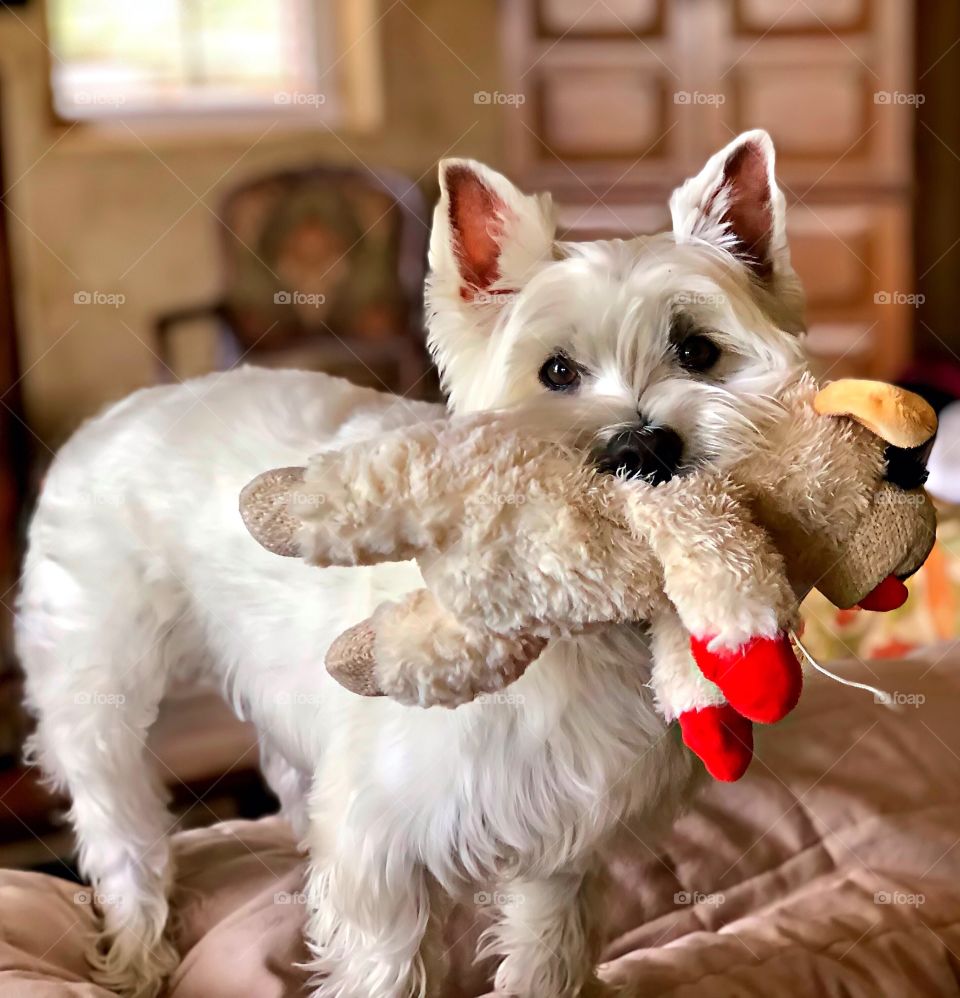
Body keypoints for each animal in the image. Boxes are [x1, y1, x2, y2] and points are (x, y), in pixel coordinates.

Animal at [18, 133, 808, 998]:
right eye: (556, 372)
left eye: (699, 351)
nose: (642, 448)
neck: (589, 632)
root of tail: (116, 414)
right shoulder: (382, 845)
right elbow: (388, 961)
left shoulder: (563, 842)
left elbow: (549, 950)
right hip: (102, 686)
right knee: (118, 815)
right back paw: (136, 946)